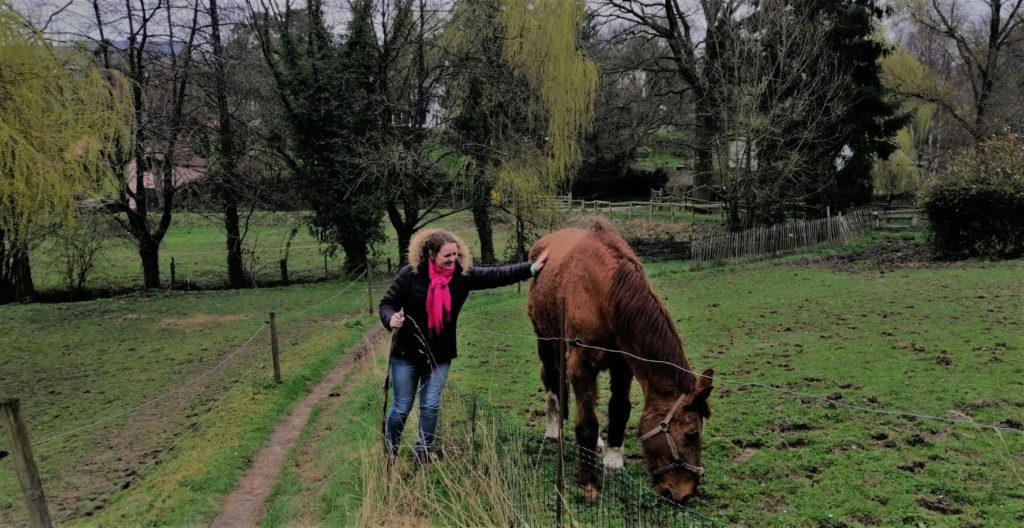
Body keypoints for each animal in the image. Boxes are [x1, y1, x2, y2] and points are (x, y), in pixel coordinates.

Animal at [528, 218, 712, 503]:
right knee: (551, 383)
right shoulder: (581, 366)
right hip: (546, 342)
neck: (604, 291)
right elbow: (587, 424)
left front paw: (613, 460)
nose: (685, 493)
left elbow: (618, 409)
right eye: (691, 434)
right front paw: (588, 483)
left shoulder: (623, 365)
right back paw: (552, 431)